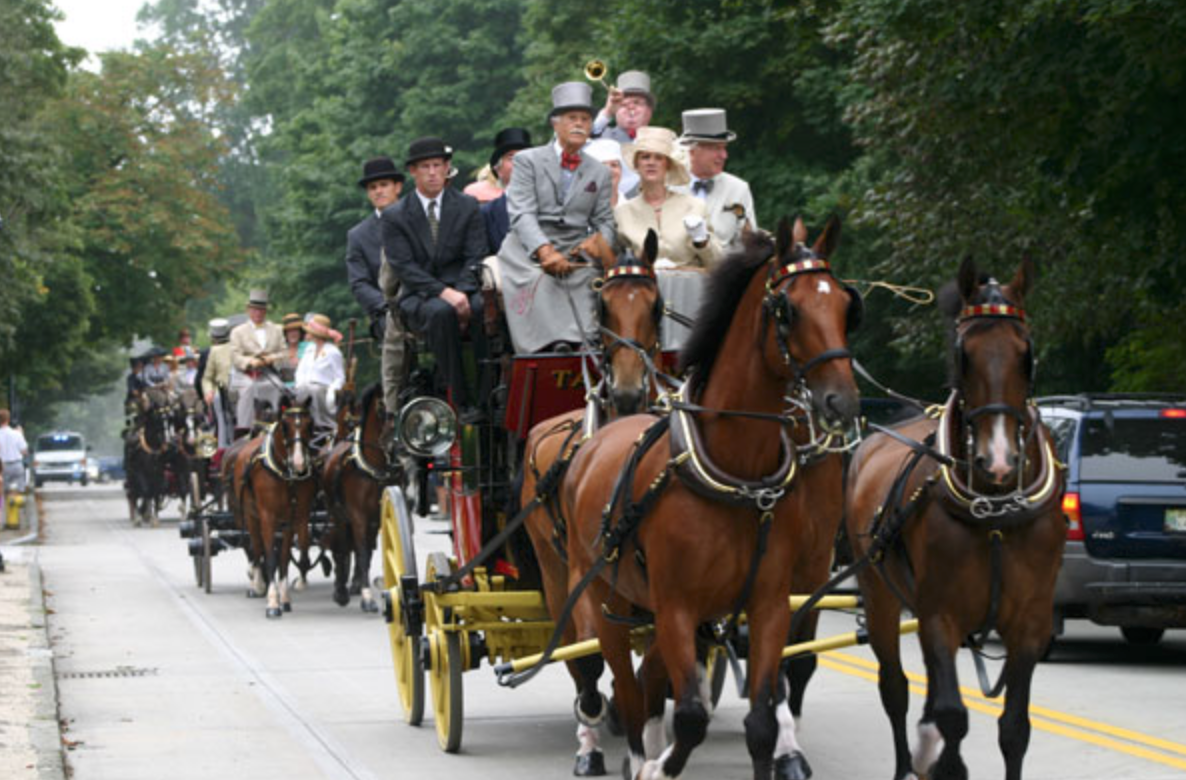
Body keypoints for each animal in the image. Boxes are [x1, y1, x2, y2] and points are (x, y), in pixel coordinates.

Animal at [228, 398, 315, 616]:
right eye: (284, 425)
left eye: (310, 425)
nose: (299, 463)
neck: (284, 474)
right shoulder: (267, 517)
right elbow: (270, 558)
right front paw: (273, 602)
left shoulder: (291, 519)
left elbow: (283, 559)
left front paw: (284, 598)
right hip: (250, 516)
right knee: (256, 548)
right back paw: (257, 584)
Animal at [324, 379, 398, 611]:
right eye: (382, 406)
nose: (391, 440)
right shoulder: (357, 515)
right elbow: (362, 551)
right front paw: (366, 597)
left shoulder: (377, 517)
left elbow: (369, 549)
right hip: (337, 513)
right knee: (341, 546)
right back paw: (341, 590)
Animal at [519, 228, 668, 772]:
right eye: (601, 305)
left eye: (657, 304)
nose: (625, 391)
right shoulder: (588, 579)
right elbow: (588, 654)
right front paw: (598, 720)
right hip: (550, 562)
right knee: (576, 650)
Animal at [557, 216, 863, 777]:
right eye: (786, 309)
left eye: (845, 306)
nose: (841, 400)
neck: (738, 475)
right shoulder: (677, 607)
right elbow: (691, 718)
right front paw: (658, 766)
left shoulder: (773, 600)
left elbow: (764, 714)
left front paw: (784, 752)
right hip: (601, 597)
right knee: (618, 685)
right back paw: (625, 749)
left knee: (648, 684)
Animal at [844, 258, 1067, 777]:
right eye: (964, 354)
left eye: (1026, 353)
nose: (999, 460)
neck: (996, 515)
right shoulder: (938, 613)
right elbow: (951, 714)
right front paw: (945, 763)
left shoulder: (1031, 622)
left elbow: (1015, 728)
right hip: (881, 598)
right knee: (895, 688)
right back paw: (907, 763)